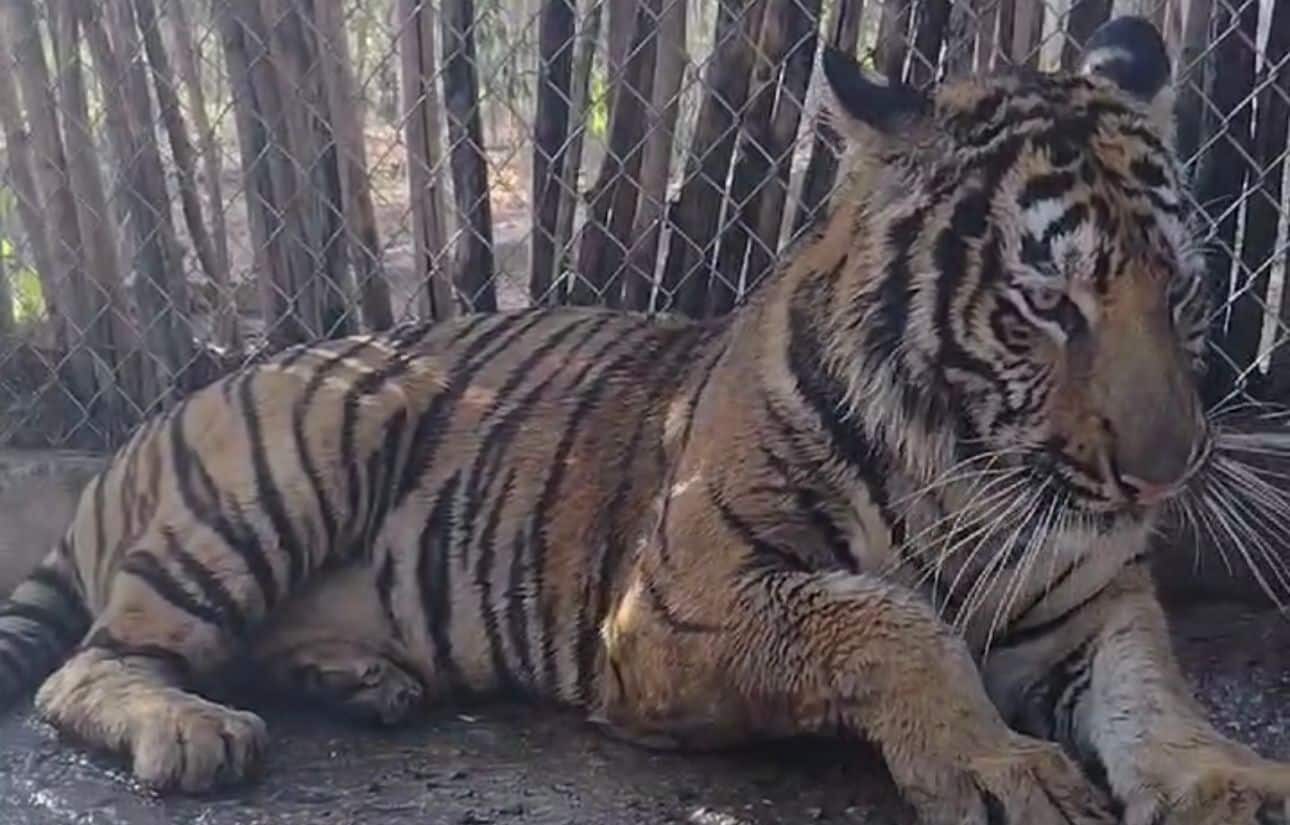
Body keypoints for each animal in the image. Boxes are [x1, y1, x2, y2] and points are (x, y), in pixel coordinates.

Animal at [2, 14, 1290, 825]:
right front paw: (995, 769)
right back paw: (197, 732)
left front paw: (1229, 783)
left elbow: (1150, 689)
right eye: (1049, 304)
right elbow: (890, 621)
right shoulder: (678, 606)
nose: (1168, 476)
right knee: (90, 667)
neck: (967, 459)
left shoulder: (1090, 599)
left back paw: (361, 680)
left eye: (1177, 290)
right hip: (305, 449)